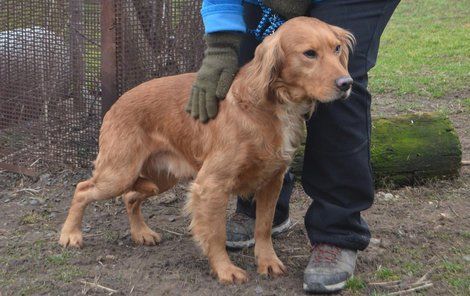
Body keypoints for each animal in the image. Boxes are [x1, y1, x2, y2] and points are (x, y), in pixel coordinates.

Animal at [59, 16, 352, 284]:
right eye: (309, 54)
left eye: (337, 48)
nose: (347, 83)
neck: (270, 106)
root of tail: (116, 102)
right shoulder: (211, 185)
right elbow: (216, 234)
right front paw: (225, 269)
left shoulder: (273, 180)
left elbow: (264, 227)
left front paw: (267, 261)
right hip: (119, 173)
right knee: (83, 189)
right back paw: (70, 234)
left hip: (160, 178)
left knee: (131, 196)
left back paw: (141, 233)